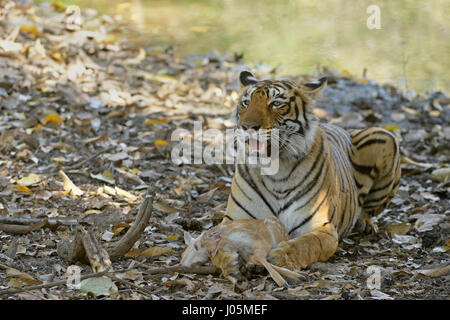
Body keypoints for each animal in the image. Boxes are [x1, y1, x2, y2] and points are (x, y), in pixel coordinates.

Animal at [223, 71, 402, 272]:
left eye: (276, 103)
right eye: (246, 102)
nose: (247, 127)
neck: (275, 171)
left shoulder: (323, 228)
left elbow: (305, 245)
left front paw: (279, 257)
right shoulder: (234, 219)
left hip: (385, 136)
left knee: (368, 210)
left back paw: (365, 224)